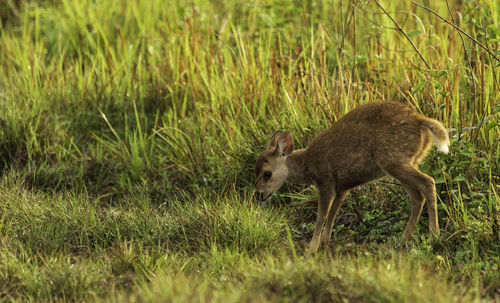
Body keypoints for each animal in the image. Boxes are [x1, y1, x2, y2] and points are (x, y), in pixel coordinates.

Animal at [254, 102, 450, 254]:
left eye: (267, 173)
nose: (259, 195)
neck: (308, 165)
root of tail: (420, 121)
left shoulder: (325, 181)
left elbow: (322, 216)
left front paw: (311, 249)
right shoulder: (342, 187)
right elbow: (333, 214)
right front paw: (324, 243)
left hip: (394, 160)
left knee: (428, 182)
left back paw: (434, 235)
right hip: (405, 163)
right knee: (417, 196)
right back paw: (403, 239)